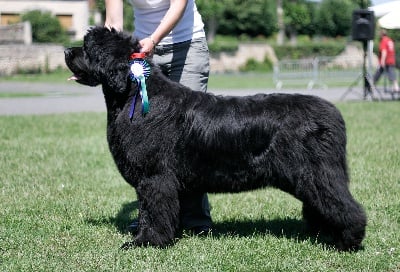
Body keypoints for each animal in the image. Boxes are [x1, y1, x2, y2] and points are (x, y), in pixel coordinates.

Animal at [65, 27, 366, 251]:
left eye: (87, 47)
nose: (67, 50)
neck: (133, 93)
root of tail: (333, 114)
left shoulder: (154, 177)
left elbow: (152, 211)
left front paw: (146, 242)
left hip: (316, 173)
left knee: (344, 205)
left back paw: (348, 241)